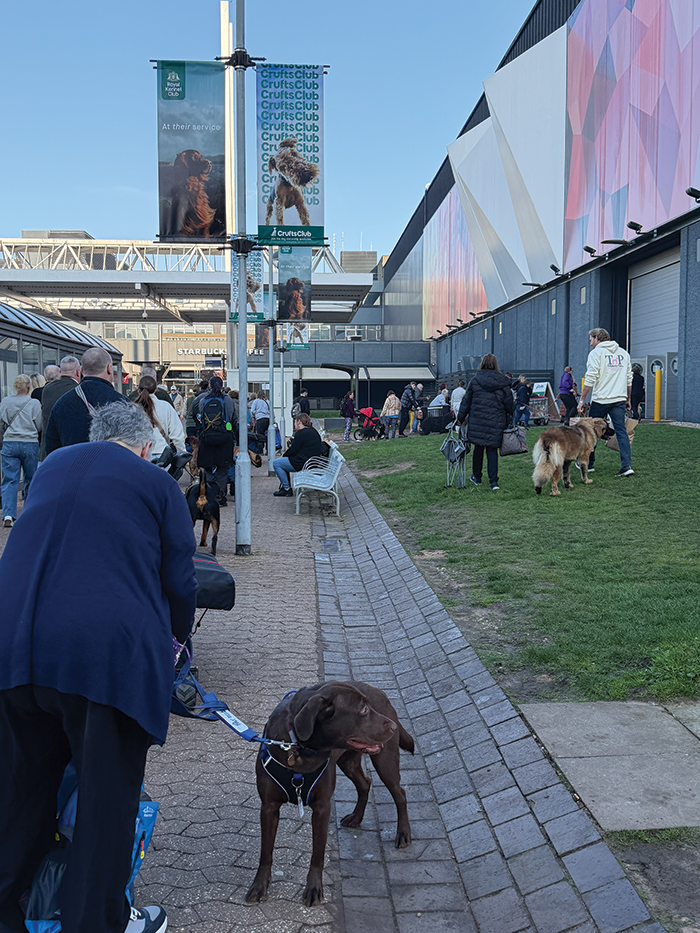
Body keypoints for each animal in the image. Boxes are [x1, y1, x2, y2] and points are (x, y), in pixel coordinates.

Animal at [246, 680, 414, 907]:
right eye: (363, 709)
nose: (394, 726)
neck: (300, 749)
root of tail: (380, 691)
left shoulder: (322, 808)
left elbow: (317, 854)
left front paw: (314, 890)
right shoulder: (268, 806)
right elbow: (266, 851)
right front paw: (259, 886)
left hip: (384, 760)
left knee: (400, 794)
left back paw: (403, 834)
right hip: (347, 761)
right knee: (365, 783)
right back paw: (356, 817)